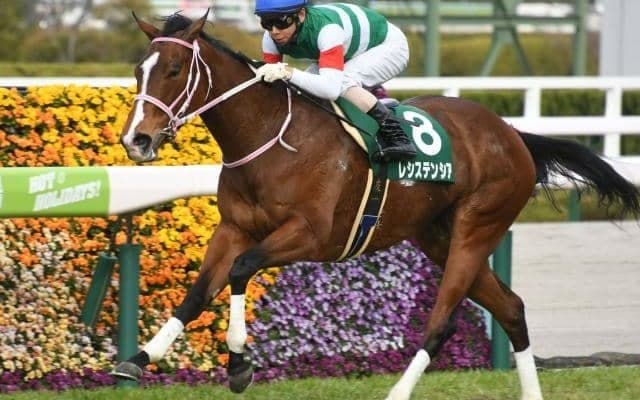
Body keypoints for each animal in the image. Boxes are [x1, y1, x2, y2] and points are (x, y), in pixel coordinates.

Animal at [112, 12, 640, 400]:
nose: (136, 141)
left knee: (441, 321)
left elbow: (242, 270)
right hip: (437, 236)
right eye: (138, 70)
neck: (272, 139)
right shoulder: (234, 228)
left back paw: (397, 392)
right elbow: (199, 293)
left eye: (174, 71)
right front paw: (137, 361)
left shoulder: (310, 235)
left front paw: (240, 363)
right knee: (510, 308)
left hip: (478, 227)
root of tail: (512, 134)